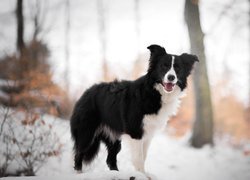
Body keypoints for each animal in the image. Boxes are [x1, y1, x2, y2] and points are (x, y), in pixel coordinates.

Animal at [70, 44, 197, 173]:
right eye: (164, 66)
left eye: (178, 68)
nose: (171, 77)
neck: (153, 92)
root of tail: (86, 92)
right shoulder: (136, 132)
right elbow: (139, 159)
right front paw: (142, 174)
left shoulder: (148, 134)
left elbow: (143, 157)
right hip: (87, 133)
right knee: (79, 154)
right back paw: (79, 172)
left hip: (113, 137)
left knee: (110, 159)